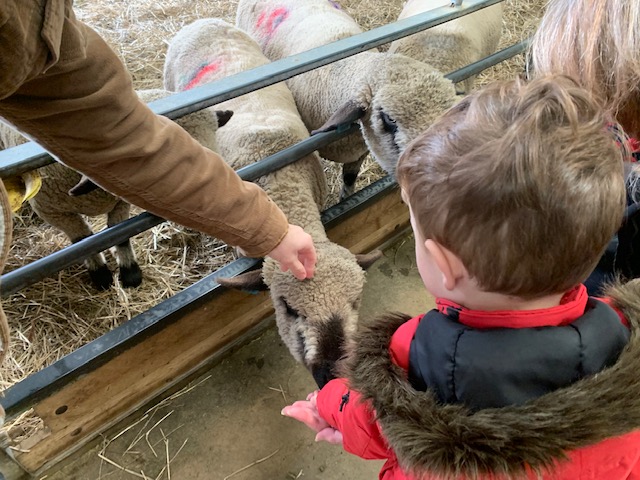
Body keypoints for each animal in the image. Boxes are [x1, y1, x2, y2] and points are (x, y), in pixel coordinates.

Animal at [0, 90, 232, 290]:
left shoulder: (121, 201)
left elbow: (119, 234)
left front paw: (130, 274)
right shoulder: (52, 212)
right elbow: (82, 241)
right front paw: (101, 275)